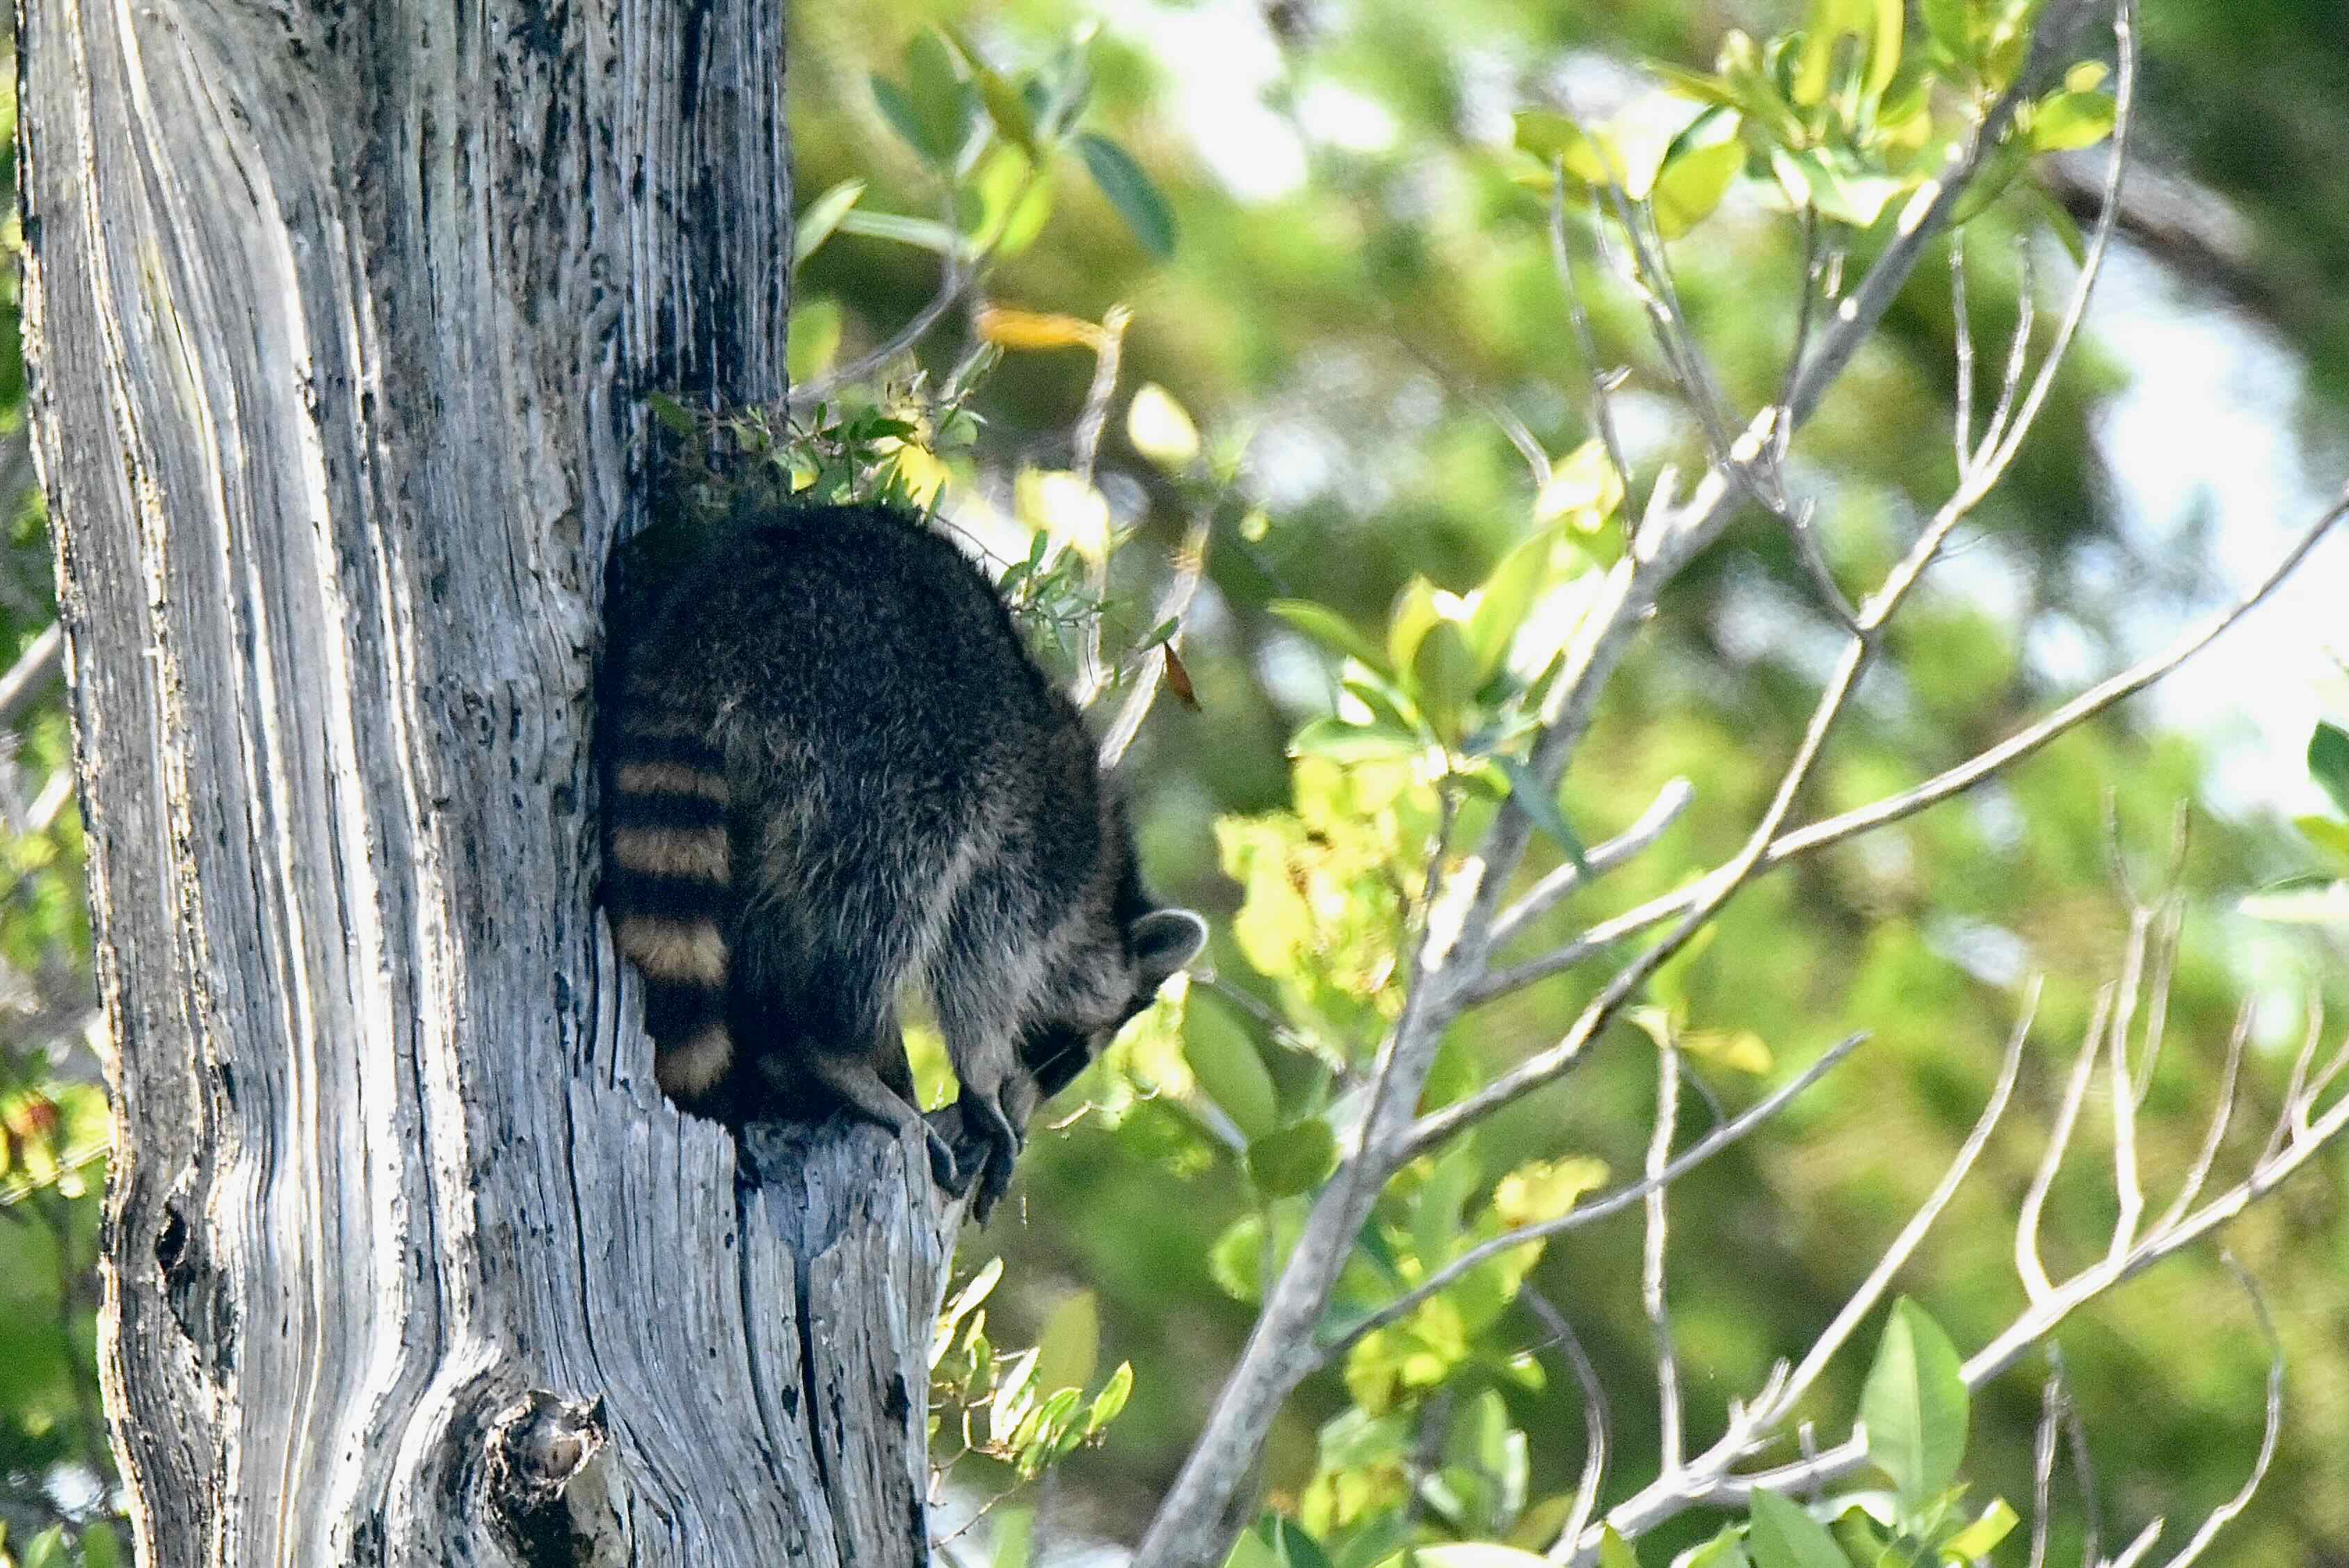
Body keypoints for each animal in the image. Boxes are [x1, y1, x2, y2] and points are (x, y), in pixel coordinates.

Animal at [602, 501, 1206, 1218]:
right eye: (1065, 1051)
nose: (1032, 1107)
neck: (1101, 888)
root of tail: (715, 616)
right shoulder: (1029, 863)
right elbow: (979, 963)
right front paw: (982, 1081)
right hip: (877, 732)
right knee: (890, 891)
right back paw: (837, 1049)